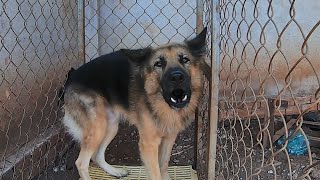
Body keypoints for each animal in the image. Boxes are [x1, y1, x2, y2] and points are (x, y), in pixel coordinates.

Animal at [62, 27, 210, 179]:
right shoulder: (149, 144)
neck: (160, 102)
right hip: (98, 128)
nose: (177, 77)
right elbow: (156, 173)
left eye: (185, 59)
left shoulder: (169, 138)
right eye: (158, 64)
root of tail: (71, 78)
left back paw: (115, 171)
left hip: (110, 126)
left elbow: (163, 165)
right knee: (81, 162)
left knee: (96, 156)